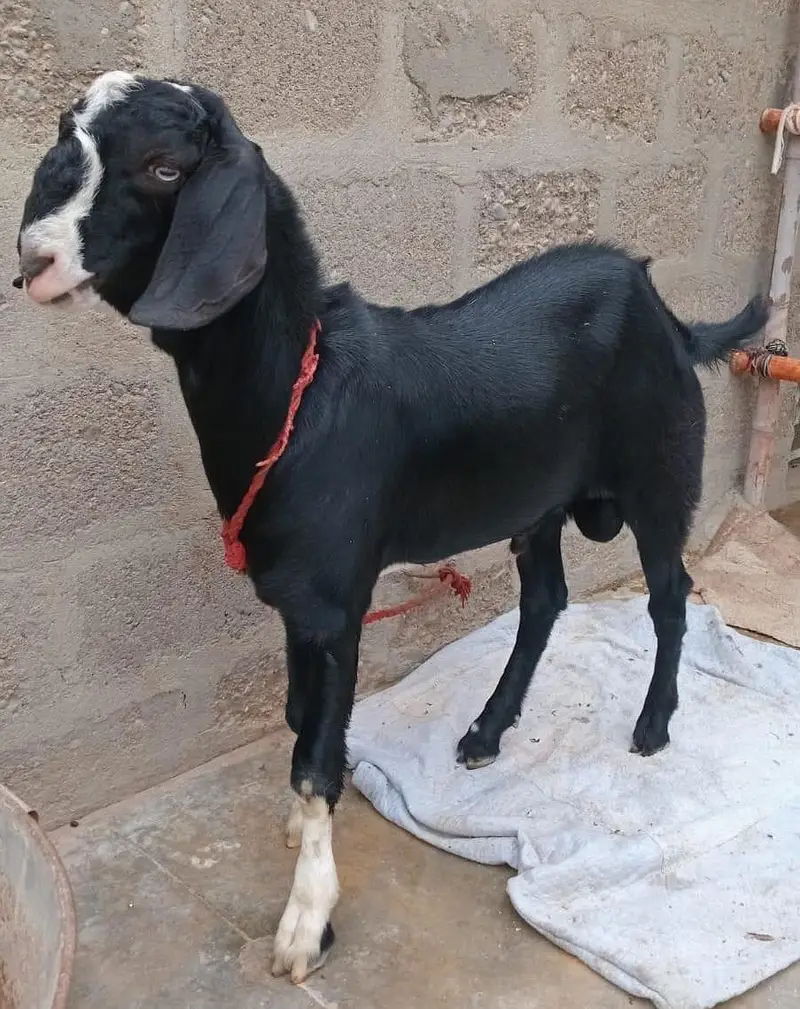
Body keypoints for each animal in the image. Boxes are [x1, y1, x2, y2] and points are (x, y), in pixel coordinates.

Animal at [15, 71, 768, 983]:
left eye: (164, 167)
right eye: (67, 134)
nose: (36, 257)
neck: (300, 391)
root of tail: (668, 314)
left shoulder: (334, 599)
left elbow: (311, 759)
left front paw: (307, 921)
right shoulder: (299, 600)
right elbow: (300, 719)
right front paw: (307, 826)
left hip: (662, 474)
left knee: (669, 594)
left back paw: (652, 726)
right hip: (538, 502)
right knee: (546, 598)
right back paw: (484, 731)